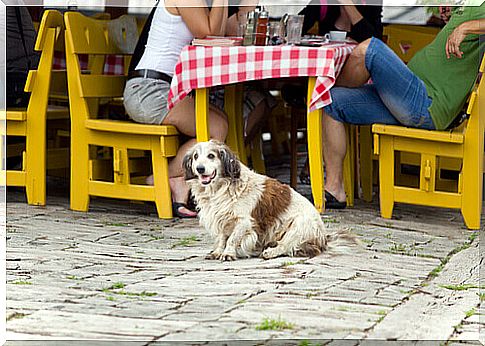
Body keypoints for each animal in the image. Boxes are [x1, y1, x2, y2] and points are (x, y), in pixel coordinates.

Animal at [183, 139, 354, 260]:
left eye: (211, 156)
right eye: (196, 156)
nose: (199, 169)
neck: (221, 189)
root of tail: (323, 238)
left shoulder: (243, 222)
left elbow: (232, 239)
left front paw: (228, 254)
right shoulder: (222, 218)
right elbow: (222, 238)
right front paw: (218, 252)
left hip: (298, 224)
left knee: (286, 246)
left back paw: (270, 252)